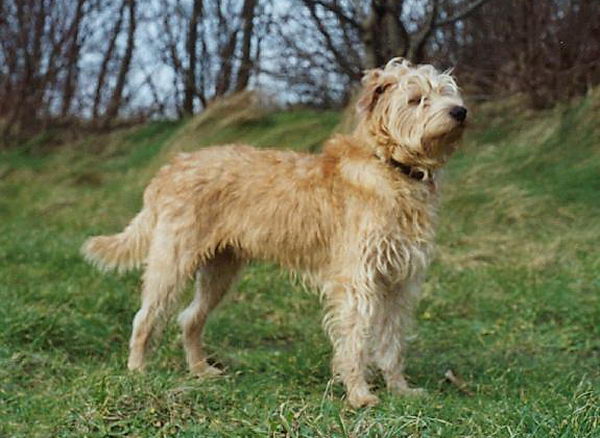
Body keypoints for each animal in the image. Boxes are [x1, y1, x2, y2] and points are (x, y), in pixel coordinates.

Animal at [83, 58, 468, 408]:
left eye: (447, 91)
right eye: (416, 99)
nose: (460, 112)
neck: (390, 167)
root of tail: (169, 169)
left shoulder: (398, 282)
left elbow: (392, 340)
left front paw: (400, 388)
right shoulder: (357, 281)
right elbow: (355, 340)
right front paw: (359, 395)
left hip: (220, 271)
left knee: (190, 318)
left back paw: (201, 371)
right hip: (172, 262)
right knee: (145, 317)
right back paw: (137, 372)